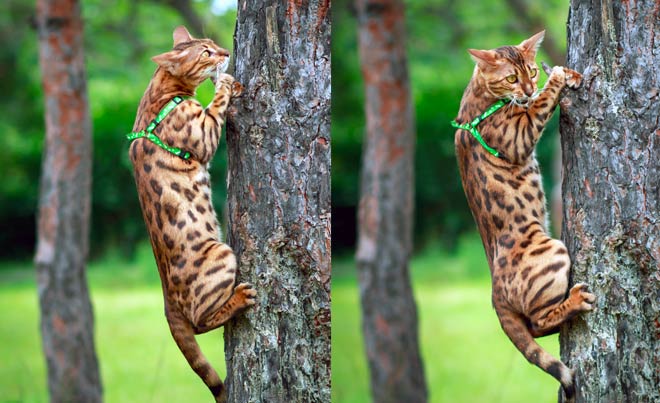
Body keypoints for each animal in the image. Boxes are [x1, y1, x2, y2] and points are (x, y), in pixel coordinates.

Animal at [127, 26, 256, 402]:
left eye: (213, 44)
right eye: (206, 53)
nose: (226, 52)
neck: (161, 92)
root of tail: (166, 301)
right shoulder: (204, 134)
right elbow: (216, 106)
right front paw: (226, 82)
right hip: (222, 253)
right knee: (200, 322)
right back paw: (240, 298)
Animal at [454, 31, 600, 400]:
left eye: (531, 71)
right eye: (510, 78)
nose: (529, 88)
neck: (480, 94)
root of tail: (494, 294)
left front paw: (568, 75)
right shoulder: (519, 135)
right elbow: (541, 105)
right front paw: (558, 78)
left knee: (534, 328)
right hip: (552, 250)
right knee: (538, 320)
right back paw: (576, 300)